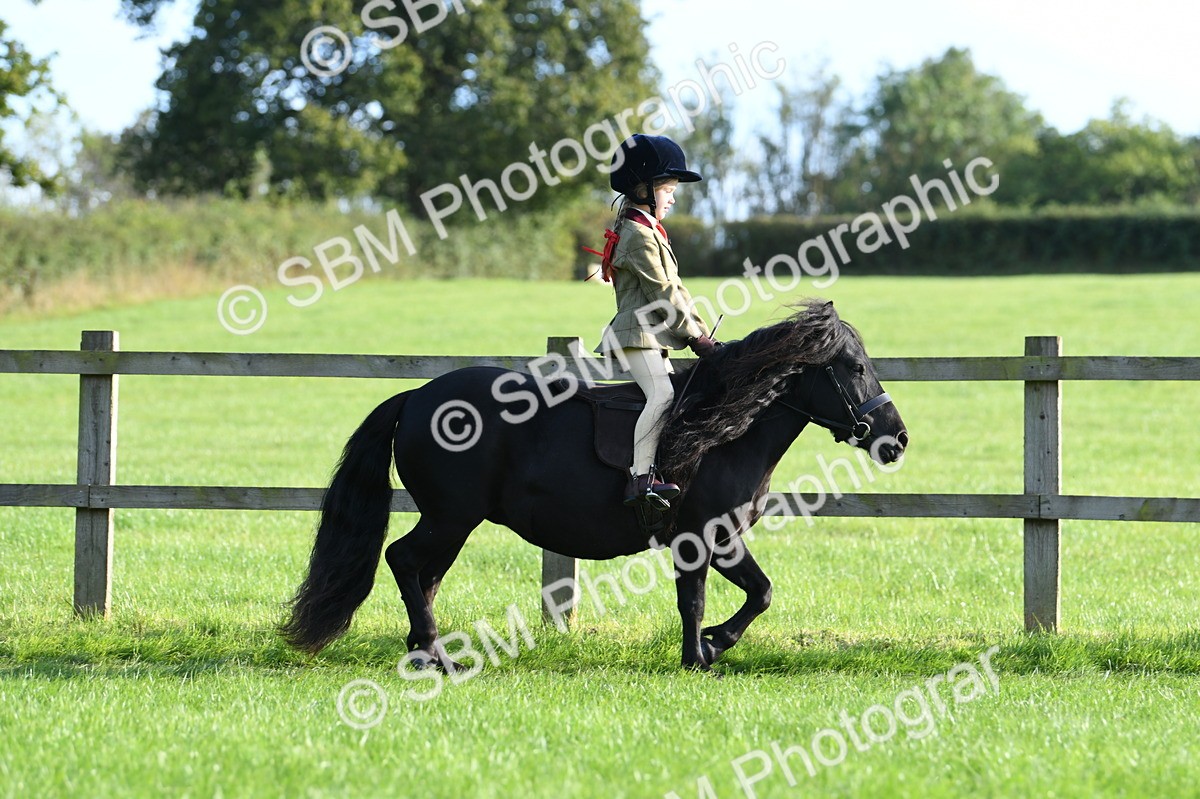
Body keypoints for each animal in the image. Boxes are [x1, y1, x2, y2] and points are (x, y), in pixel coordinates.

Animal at [280, 300, 908, 673]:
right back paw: (436, 654)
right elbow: (719, 597)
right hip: (450, 517)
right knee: (405, 561)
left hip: (449, 522)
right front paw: (702, 652)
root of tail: (416, 397)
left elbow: (744, 595)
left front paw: (704, 648)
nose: (896, 439)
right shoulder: (705, 537)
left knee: (423, 574)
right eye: (854, 368)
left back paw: (425, 653)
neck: (722, 429)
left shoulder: (715, 540)